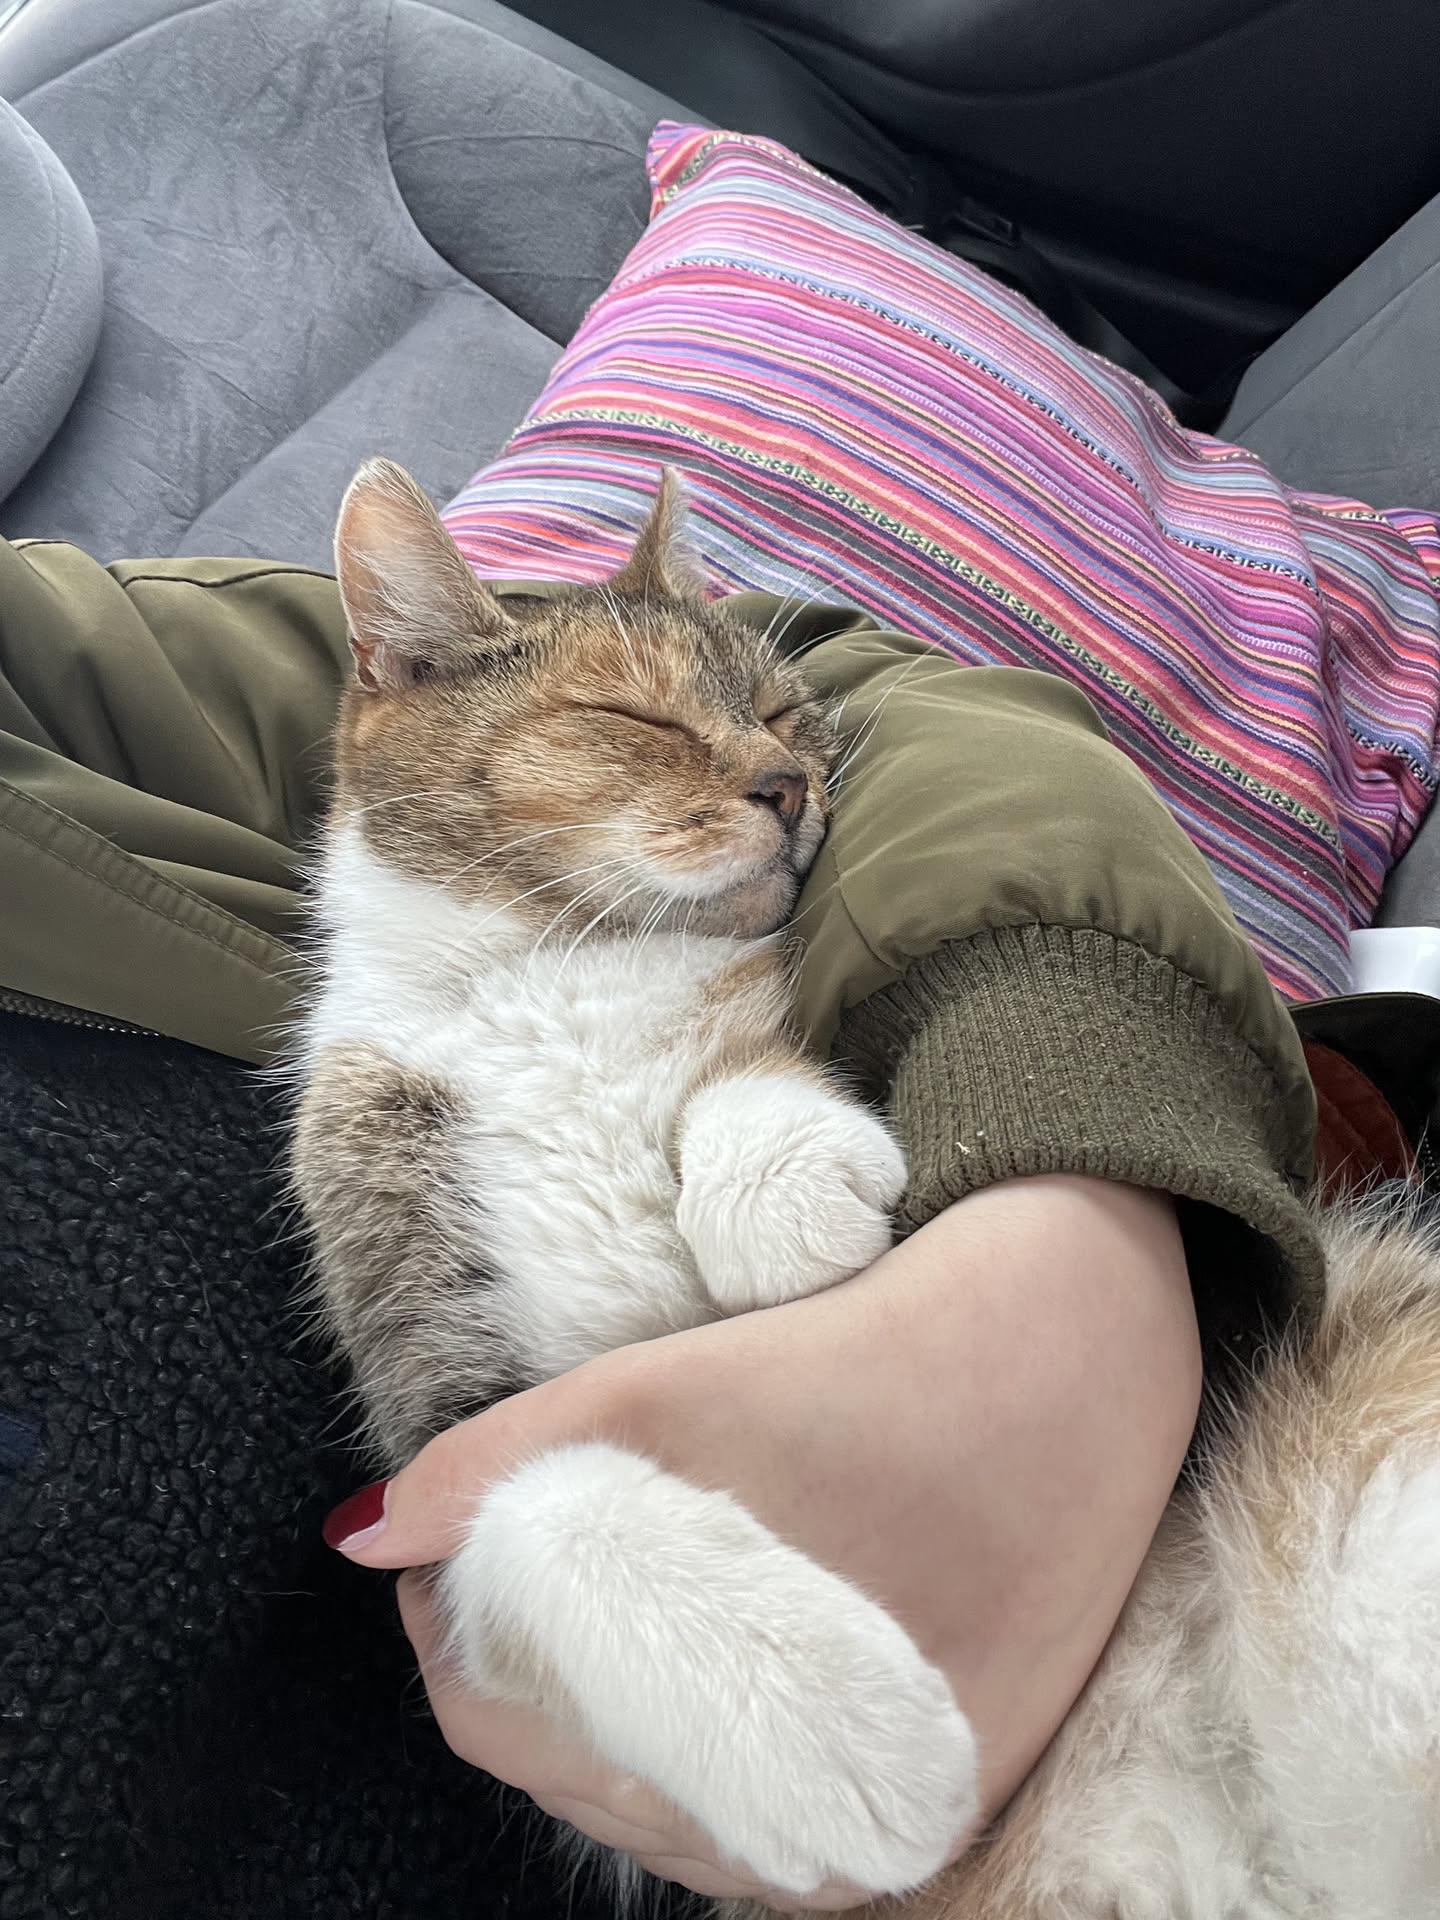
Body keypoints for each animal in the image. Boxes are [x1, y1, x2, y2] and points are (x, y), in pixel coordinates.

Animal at [291, 457, 979, 1900]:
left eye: (779, 708)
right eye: (630, 716)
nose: (788, 783)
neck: (554, 967)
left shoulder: (734, 1001)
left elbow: (738, 1069)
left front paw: (783, 1195)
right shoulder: (422, 1366)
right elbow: (516, 1497)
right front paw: (822, 1717)